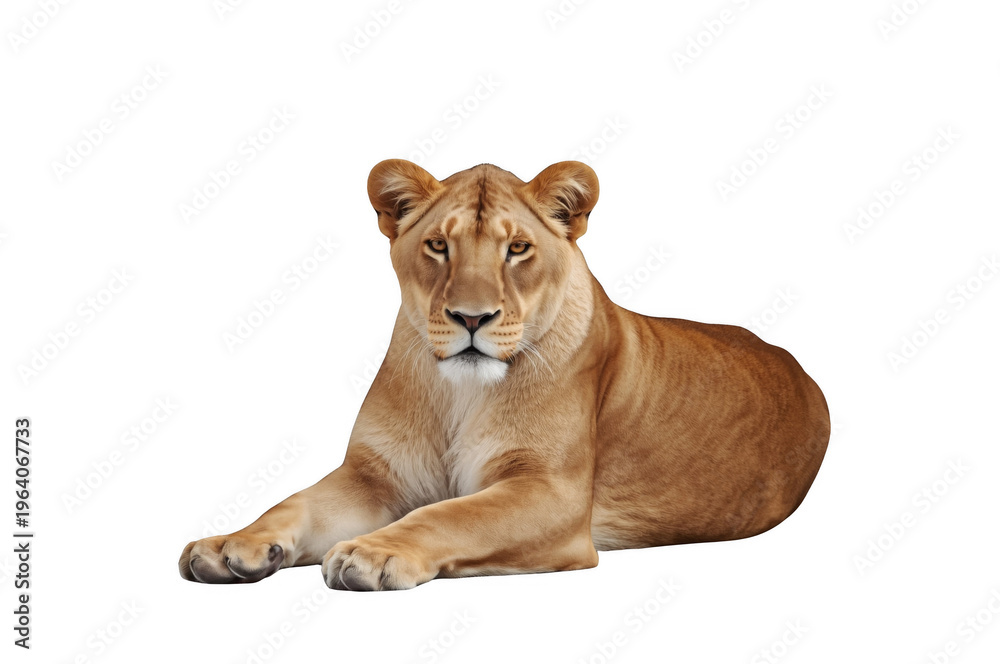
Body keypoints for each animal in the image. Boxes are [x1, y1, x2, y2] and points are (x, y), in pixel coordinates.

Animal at [179, 159, 830, 590]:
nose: (471, 318)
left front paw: (372, 553)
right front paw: (230, 544)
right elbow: (292, 504)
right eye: (438, 246)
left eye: (517, 249)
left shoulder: (553, 494)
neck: (459, 393)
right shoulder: (375, 475)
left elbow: (451, 513)